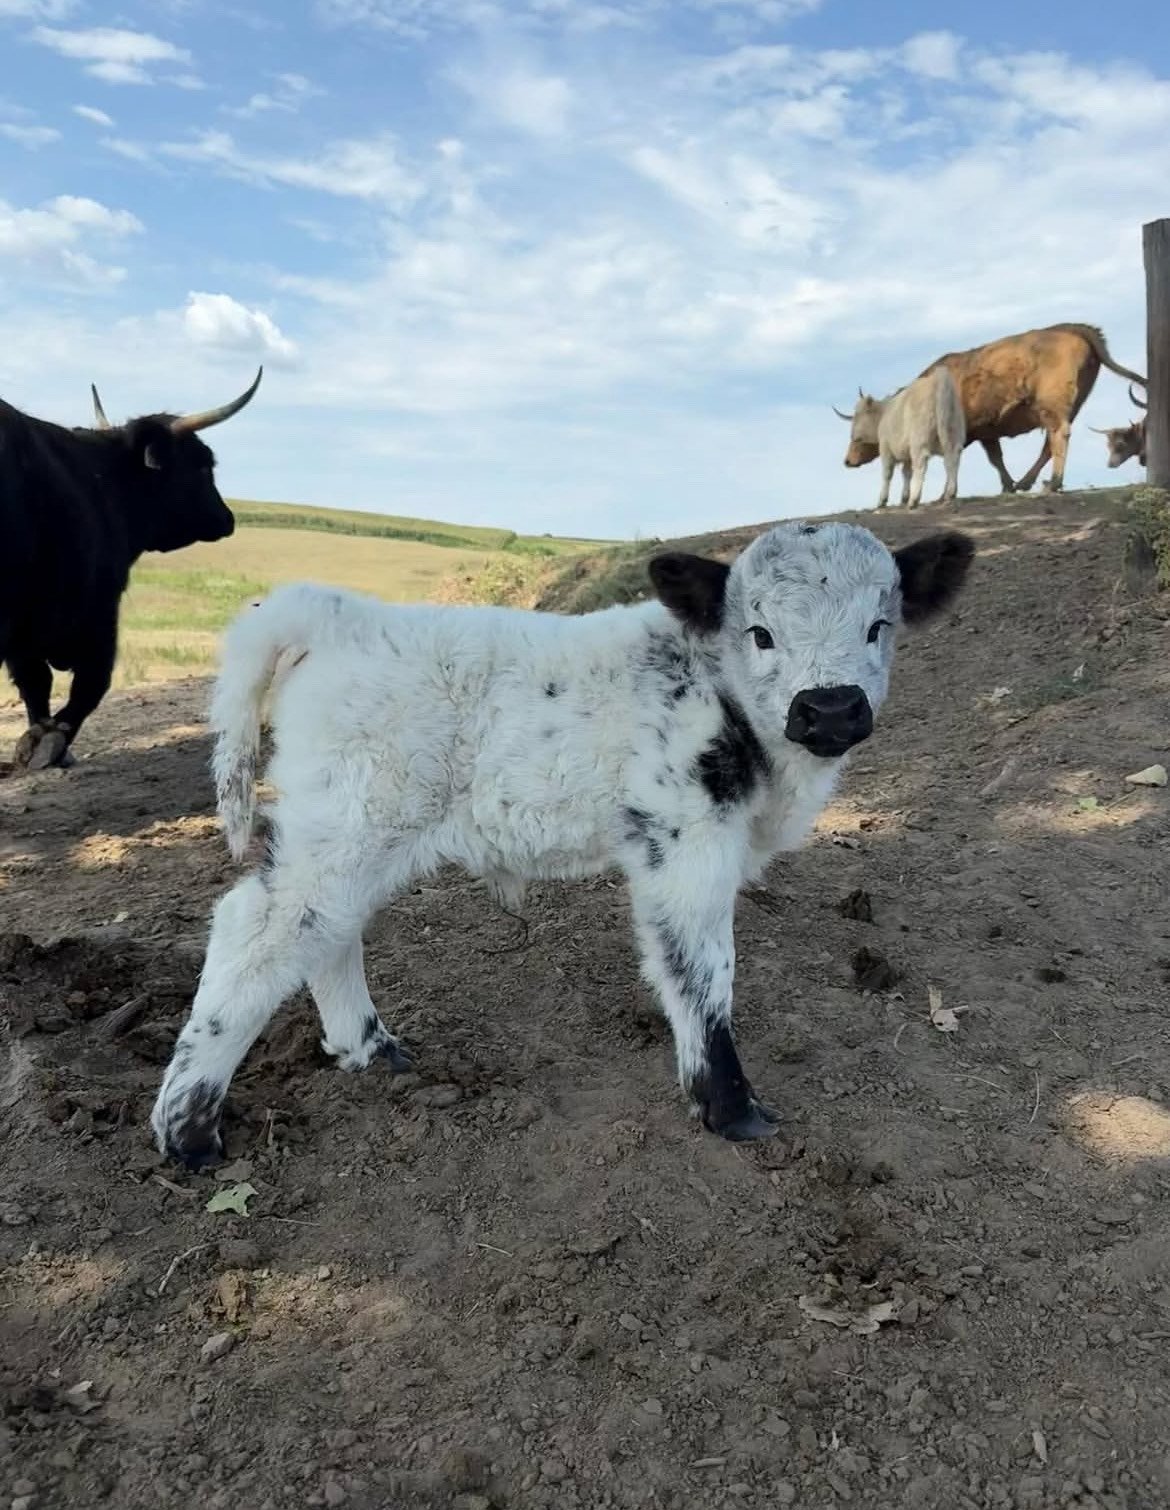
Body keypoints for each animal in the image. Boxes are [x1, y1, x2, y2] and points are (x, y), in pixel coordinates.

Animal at [0, 370, 262, 771]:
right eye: (204, 464)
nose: (227, 518)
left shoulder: (29, 632)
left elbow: (38, 684)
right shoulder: (97, 613)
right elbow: (87, 684)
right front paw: (53, 743)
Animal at [150, 521, 975, 1167]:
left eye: (879, 627)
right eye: (761, 632)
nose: (831, 709)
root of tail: (337, 615)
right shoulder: (683, 847)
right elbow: (701, 974)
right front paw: (731, 1108)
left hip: (354, 834)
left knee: (324, 934)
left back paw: (370, 1050)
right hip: (351, 821)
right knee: (258, 930)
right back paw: (188, 1130)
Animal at [835, 365, 965, 510]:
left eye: (858, 413)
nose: (853, 434)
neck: (883, 414)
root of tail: (938, 378)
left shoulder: (885, 448)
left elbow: (887, 473)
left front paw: (882, 501)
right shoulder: (906, 452)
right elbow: (906, 473)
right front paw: (904, 497)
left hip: (919, 440)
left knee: (921, 463)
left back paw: (914, 500)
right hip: (954, 431)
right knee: (952, 458)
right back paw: (950, 493)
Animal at [837, 324, 1146, 496]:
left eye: (856, 432)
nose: (847, 460)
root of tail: (1070, 328)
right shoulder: (985, 430)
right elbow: (996, 459)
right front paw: (1007, 485)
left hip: (1052, 405)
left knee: (1059, 436)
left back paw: (1054, 483)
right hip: (1063, 407)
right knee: (1049, 444)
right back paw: (1027, 482)